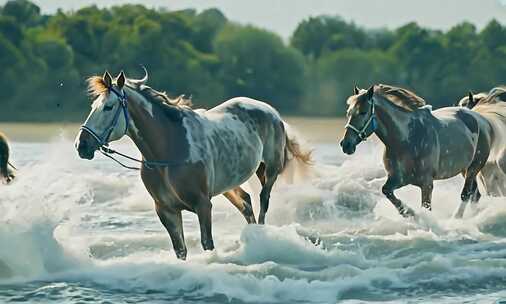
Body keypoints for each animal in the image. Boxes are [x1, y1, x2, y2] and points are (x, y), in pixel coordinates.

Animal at [75, 70, 312, 258]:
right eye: (93, 105)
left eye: (108, 107)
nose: (81, 145)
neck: (169, 152)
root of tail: (272, 112)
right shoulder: (166, 210)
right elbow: (180, 251)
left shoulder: (203, 205)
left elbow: (207, 244)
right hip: (228, 185)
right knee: (245, 203)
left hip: (270, 171)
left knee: (263, 201)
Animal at [338, 84, 492, 218]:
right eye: (348, 113)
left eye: (363, 112)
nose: (346, 145)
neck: (405, 141)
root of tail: (479, 118)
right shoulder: (398, 179)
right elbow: (386, 191)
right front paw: (409, 213)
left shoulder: (427, 184)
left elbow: (426, 207)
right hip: (464, 170)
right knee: (475, 195)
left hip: (473, 168)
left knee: (466, 194)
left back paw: (456, 218)